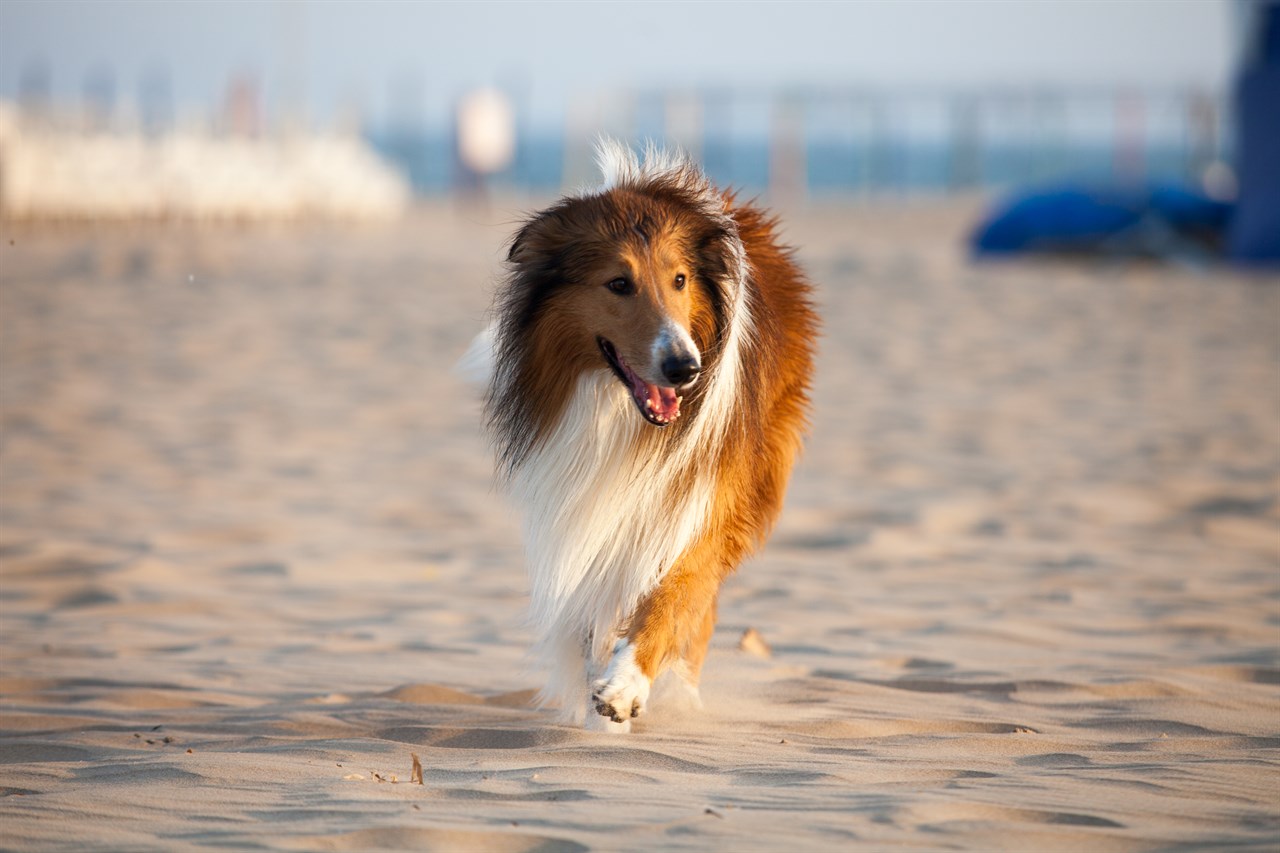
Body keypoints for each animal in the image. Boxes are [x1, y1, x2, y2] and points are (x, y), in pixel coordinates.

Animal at [476, 140, 814, 732]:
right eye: (618, 283)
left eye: (679, 280)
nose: (685, 369)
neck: (619, 416)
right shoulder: (587, 506)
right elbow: (594, 617)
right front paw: (600, 707)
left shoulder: (702, 500)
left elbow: (673, 595)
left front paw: (625, 686)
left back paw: (681, 694)